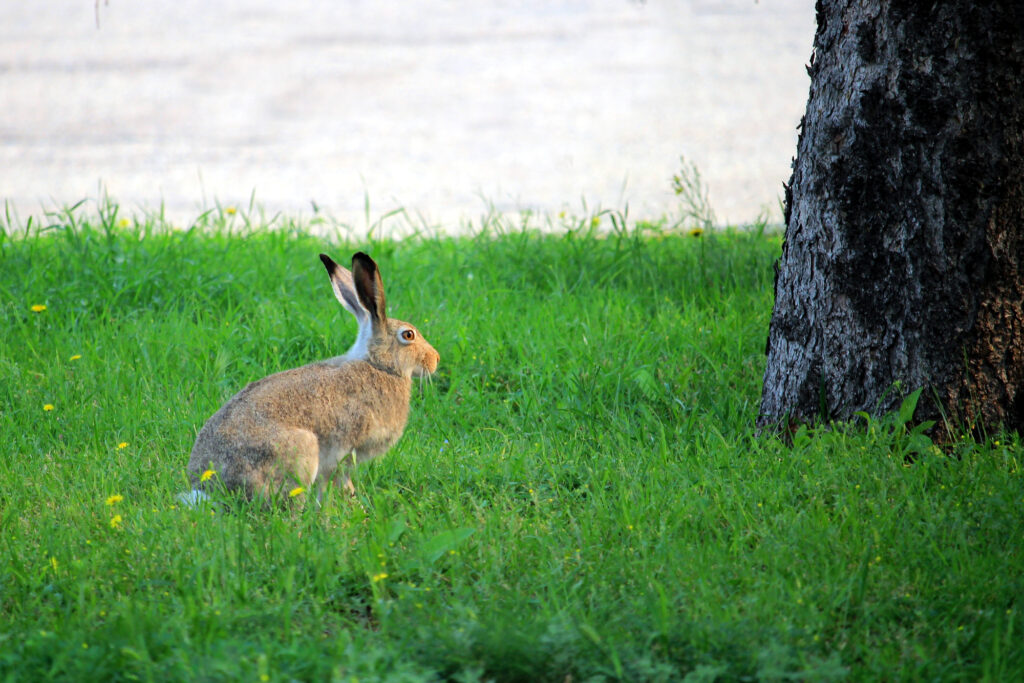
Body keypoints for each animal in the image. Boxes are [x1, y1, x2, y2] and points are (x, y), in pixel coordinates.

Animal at [183, 251, 440, 504]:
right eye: (408, 335)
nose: (435, 359)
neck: (379, 365)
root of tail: (208, 488)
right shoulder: (345, 449)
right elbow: (340, 479)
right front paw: (351, 502)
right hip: (301, 453)